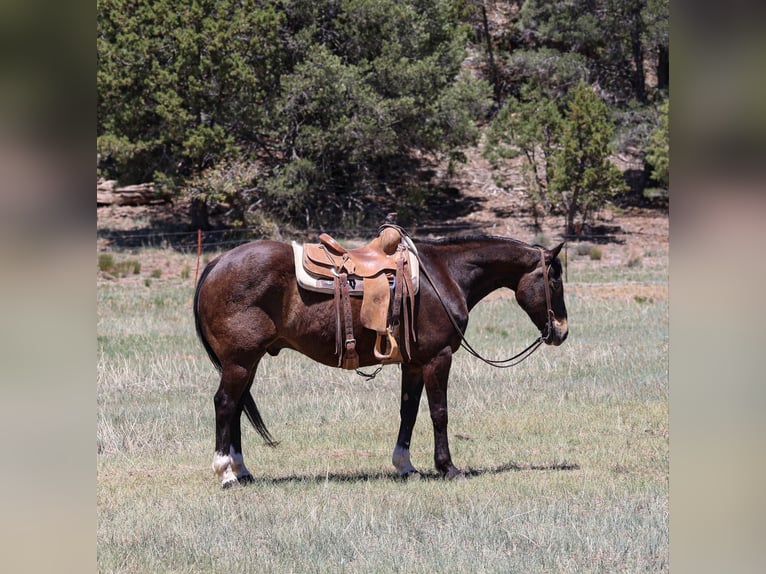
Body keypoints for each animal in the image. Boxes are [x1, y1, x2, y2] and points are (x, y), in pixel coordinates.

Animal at [194, 233, 568, 487]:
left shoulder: (414, 363)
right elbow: (439, 412)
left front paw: (405, 465)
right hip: (240, 362)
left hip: (248, 363)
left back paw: (243, 471)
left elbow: (409, 411)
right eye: (554, 280)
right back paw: (226, 473)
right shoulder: (438, 358)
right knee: (225, 403)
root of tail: (215, 264)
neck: (445, 274)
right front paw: (447, 467)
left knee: (236, 407)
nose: (561, 331)